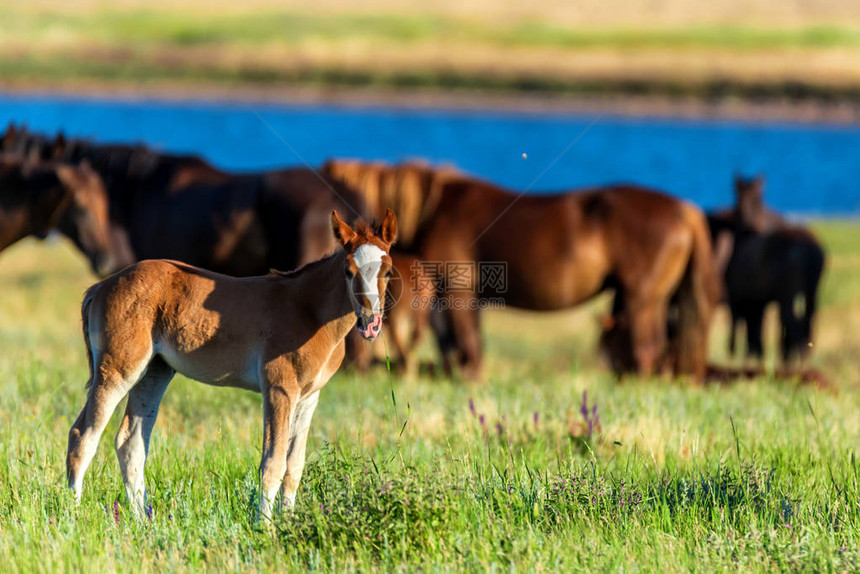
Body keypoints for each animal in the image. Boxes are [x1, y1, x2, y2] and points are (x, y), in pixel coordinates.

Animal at [66, 209, 396, 520]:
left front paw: (288, 523)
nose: (370, 322)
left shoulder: (309, 397)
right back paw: (74, 515)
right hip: (118, 370)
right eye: (348, 270)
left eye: (388, 270)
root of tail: (101, 286)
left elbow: (294, 467)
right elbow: (272, 463)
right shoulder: (278, 390)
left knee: (130, 444)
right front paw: (265, 528)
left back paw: (141, 521)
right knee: (83, 436)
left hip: (154, 373)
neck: (308, 310)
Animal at [322, 161, 720, 382]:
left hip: (643, 300)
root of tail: (687, 210)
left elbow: (466, 344)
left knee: (648, 351)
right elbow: (457, 343)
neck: (432, 207)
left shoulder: (458, 290)